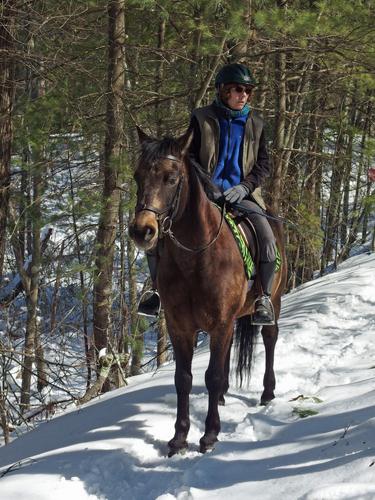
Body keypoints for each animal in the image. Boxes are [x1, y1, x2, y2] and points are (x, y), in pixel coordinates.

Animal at [129, 128, 288, 458]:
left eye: (171, 178)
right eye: (138, 176)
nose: (142, 231)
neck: (196, 257)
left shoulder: (220, 323)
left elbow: (211, 376)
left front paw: (210, 435)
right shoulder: (180, 327)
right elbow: (183, 379)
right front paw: (179, 438)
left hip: (273, 302)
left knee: (269, 339)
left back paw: (267, 392)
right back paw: (226, 395)